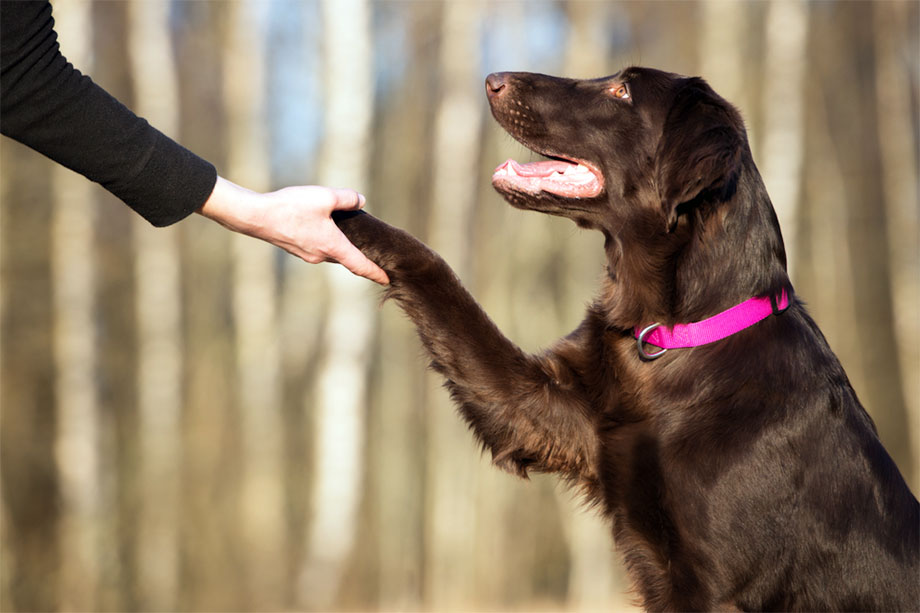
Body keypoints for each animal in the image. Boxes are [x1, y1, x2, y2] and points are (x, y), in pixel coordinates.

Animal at [332, 68, 920, 612]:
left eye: (622, 92)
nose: (493, 80)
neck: (673, 336)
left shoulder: (718, 587)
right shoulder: (541, 409)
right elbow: (436, 274)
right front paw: (342, 214)